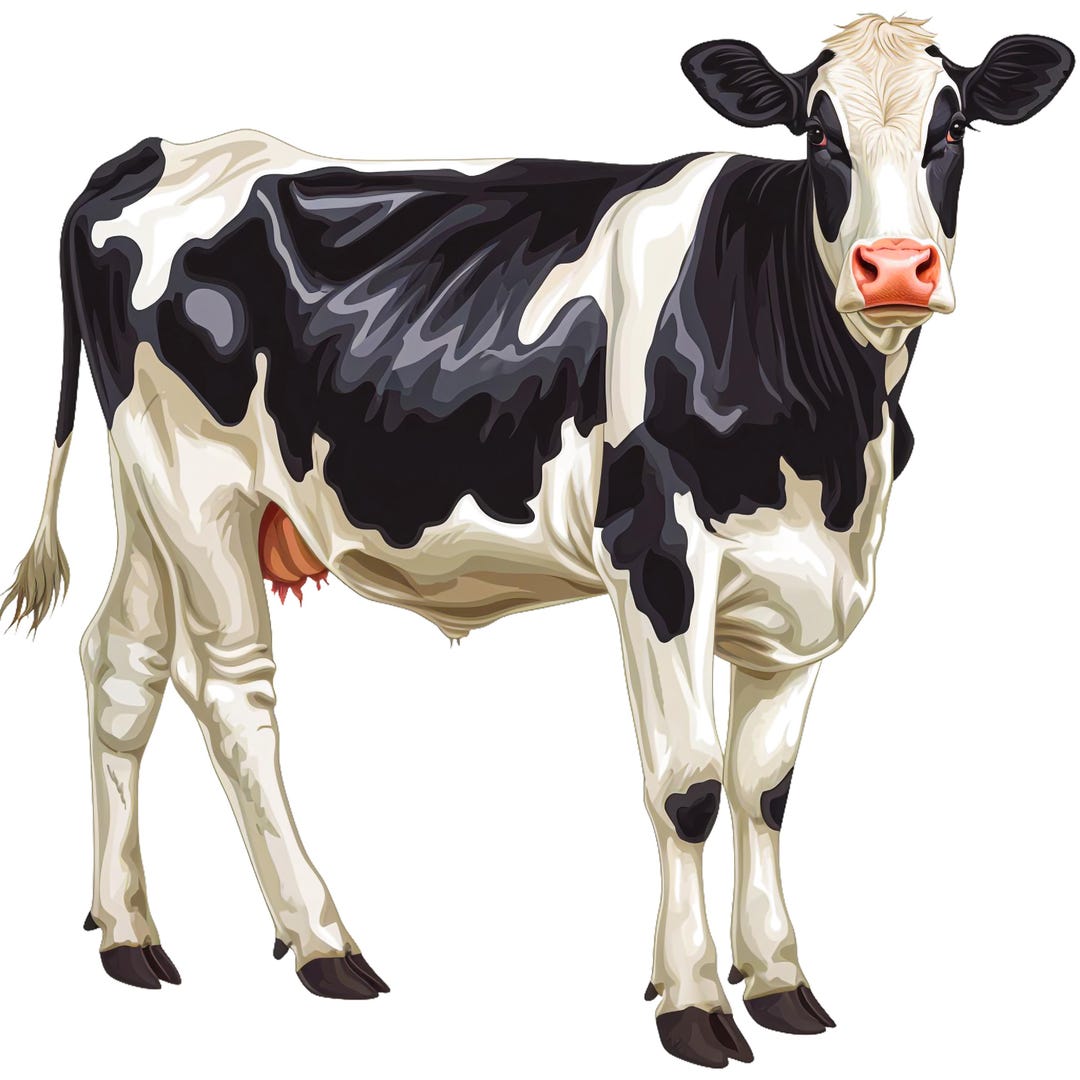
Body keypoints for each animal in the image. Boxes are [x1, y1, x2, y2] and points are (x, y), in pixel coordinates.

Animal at [2, 12, 1071, 1070]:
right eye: (818, 133)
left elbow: (766, 788)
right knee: (233, 694)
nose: (894, 267)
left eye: (951, 128)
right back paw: (323, 943)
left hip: (144, 483)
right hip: (200, 486)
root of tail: (160, 150)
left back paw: (130, 934)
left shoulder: (805, 584)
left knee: (122, 662)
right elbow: (690, 786)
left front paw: (778, 982)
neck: (827, 441)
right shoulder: (656, 560)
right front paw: (691, 1002)